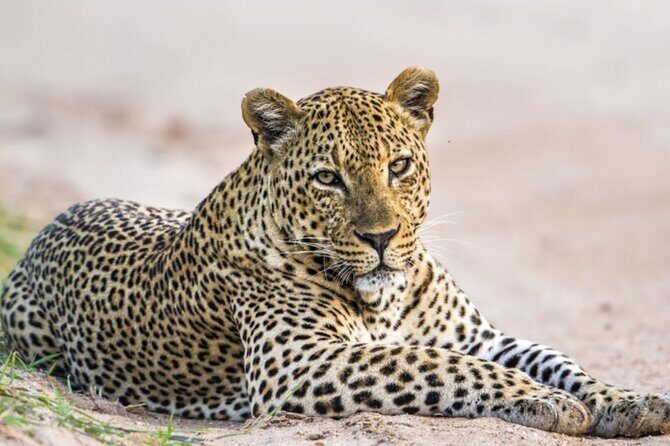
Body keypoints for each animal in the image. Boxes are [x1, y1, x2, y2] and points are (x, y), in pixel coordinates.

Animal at [2, 67, 669, 438]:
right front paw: (544, 400)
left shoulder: (478, 336)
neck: (386, 297)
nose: (380, 238)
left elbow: (557, 360)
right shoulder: (299, 361)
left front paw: (629, 401)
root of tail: (45, 228)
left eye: (398, 166)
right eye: (328, 179)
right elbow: (436, 365)